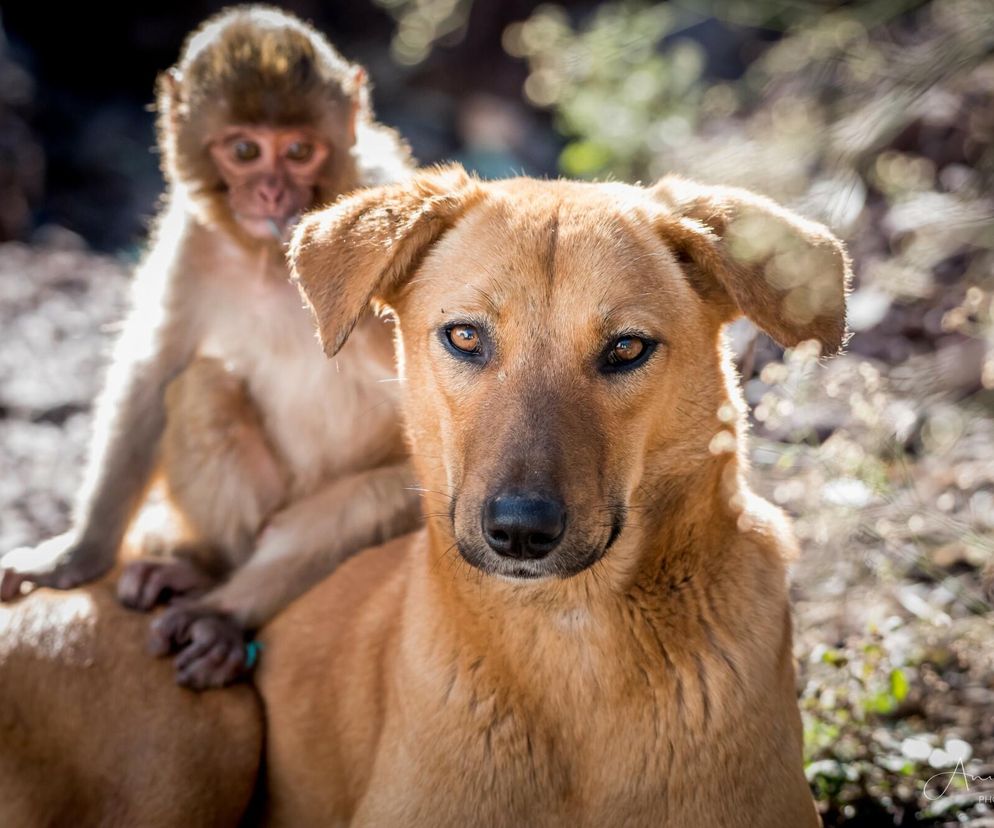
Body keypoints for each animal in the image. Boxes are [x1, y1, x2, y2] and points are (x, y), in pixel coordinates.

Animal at [0, 6, 418, 688]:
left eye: (299, 150)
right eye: (245, 150)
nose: (272, 194)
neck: (270, 253)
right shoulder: (194, 236)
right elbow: (154, 368)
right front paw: (78, 555)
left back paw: (219, 613)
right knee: (198, 387)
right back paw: (203, 566)